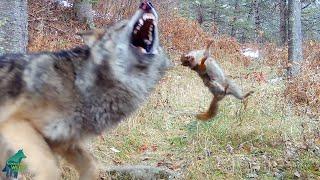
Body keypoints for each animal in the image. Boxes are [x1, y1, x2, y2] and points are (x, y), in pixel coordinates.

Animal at [0, 1, 170, 180]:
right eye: (123, 25)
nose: (146, 4)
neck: (81, 85)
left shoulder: (63, 141)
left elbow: (93, 165)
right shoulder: (15, 123)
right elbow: (50, 167)